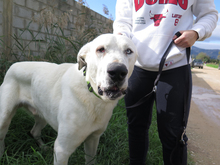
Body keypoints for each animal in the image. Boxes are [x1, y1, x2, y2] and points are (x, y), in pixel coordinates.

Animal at [0, 34, 138, 164]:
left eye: (128, 51)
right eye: (101, 49)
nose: (118, 71)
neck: (91, 95)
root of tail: (13, 65)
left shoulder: (93, 140)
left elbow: (90, 160)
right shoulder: (62, 150)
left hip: (43, 114)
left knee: (34, 131)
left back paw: (43, 148)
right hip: (4, 117)